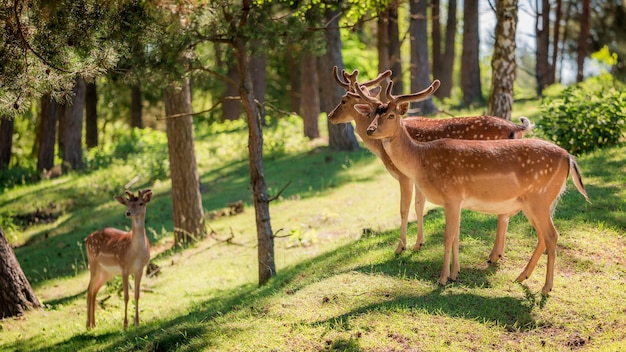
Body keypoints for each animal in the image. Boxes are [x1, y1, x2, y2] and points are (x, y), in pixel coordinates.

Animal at [85, 190, 152, 330]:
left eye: (141, 203)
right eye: (127, 203)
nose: (128, 213)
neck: (135, 253)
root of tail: (87, 238)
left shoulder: (140, 269)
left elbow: (137, 295)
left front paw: (137, 322)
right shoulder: (123, 267)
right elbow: (126, 296)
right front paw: (125, 324)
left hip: (106, 272)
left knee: (94, 290)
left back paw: (94, 324)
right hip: (93, 263)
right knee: (89, 289)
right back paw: (88, 324)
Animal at [354, 80, 588, 294]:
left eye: (391, 115)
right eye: (373, 113)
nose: (370, 130)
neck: (421, 160)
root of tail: (569, 157)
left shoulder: (452, 196)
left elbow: (447, 237)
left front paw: (442, 279)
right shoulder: (457, 202)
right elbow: (456, 236)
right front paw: (455, 274)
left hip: (540, 198)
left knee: (552, 235)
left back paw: (546, 288)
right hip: (537, 202)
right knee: (543, 236)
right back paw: (522, 277)